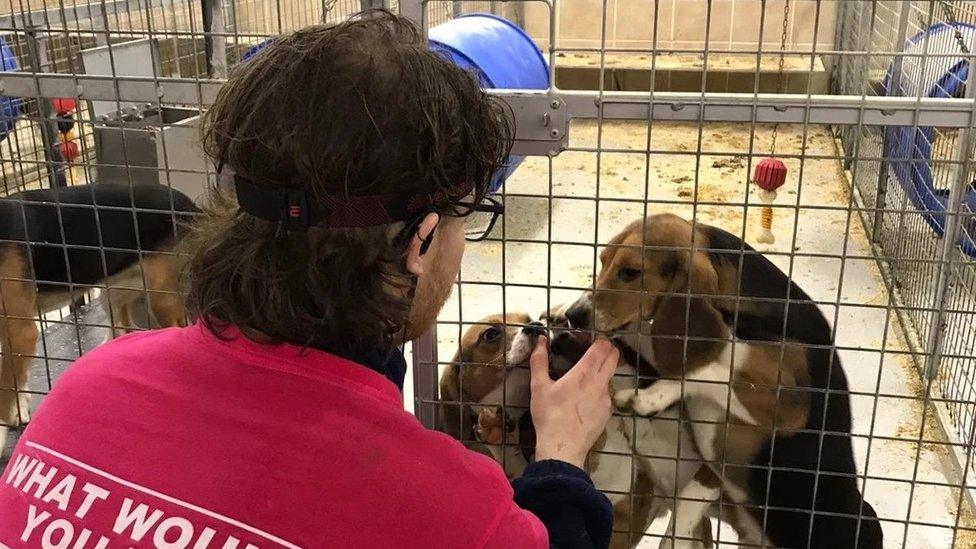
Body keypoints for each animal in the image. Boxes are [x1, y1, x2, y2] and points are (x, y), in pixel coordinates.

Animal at [0, 182, 198, 444]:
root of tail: (188, 203)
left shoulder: (20, 331)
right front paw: (20, 404)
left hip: (162, 298)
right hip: (112, 291)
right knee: (123, 327)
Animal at [564, 213, 884, 548]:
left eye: (630, 273)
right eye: (602, 261)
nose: (575, 315)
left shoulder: (790, 407)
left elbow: (712, 370)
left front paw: (650, 397)